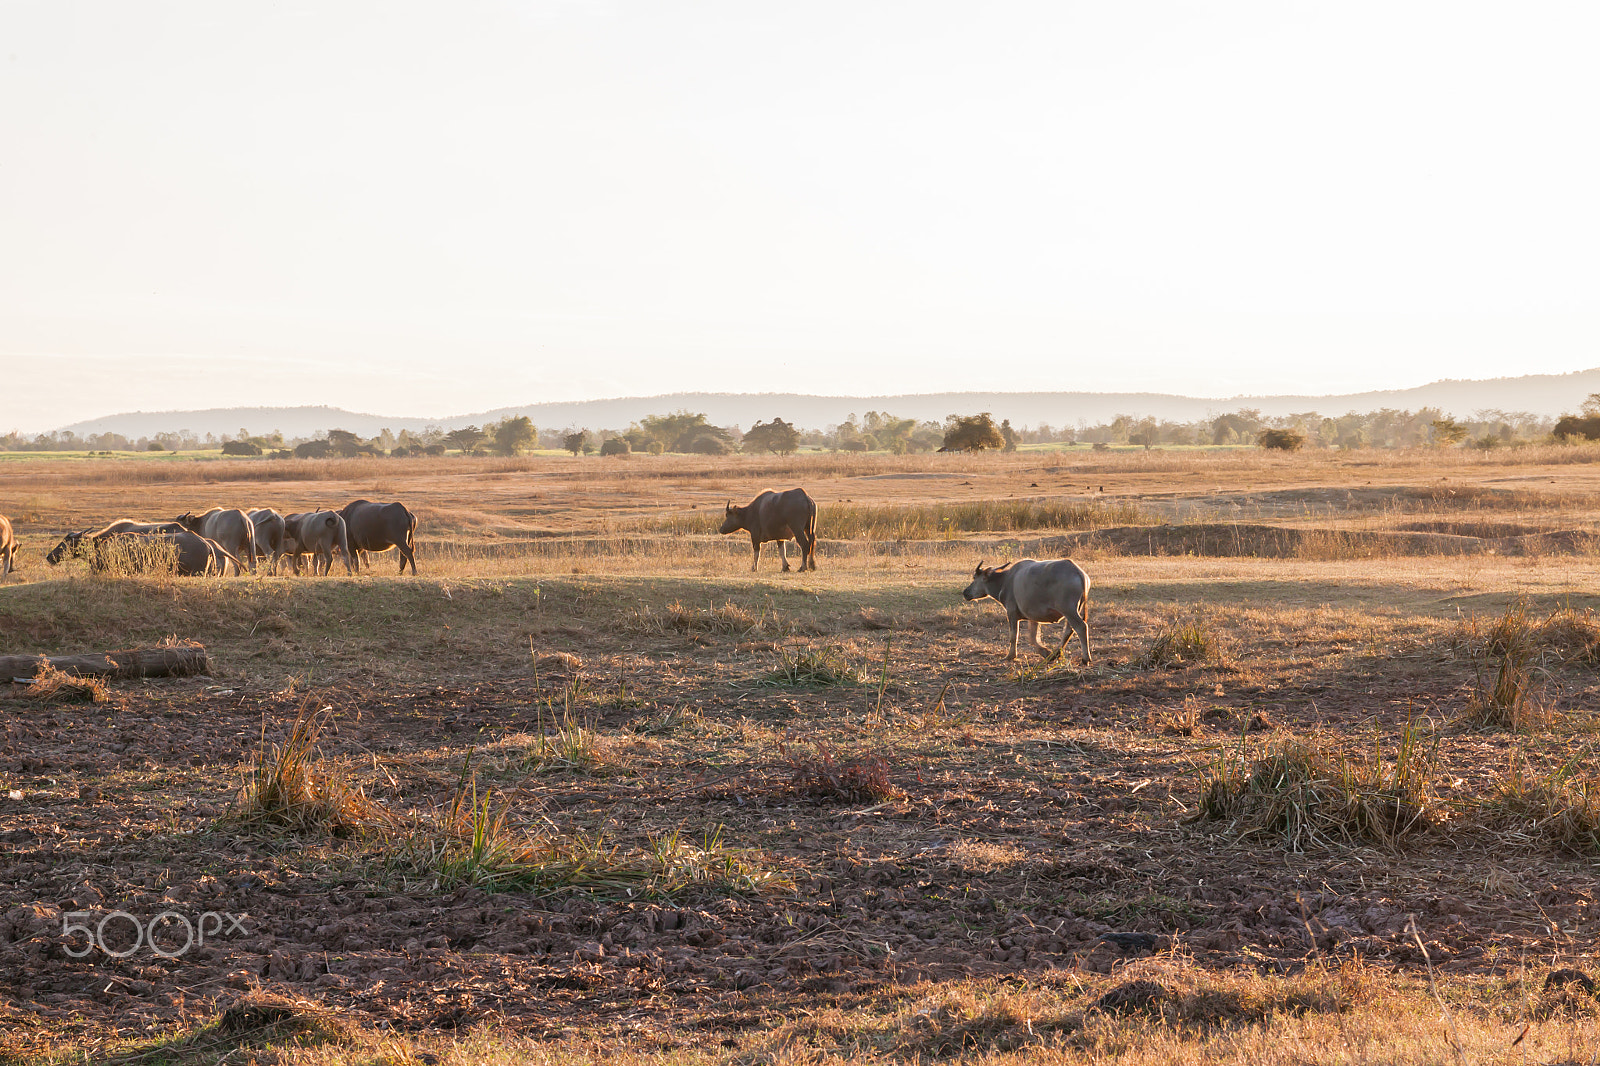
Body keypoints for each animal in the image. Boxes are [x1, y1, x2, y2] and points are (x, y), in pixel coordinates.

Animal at [962, 558, 1091, 664]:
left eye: (974, 578)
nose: (965, 592)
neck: (1005, 580)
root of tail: (1078, 572)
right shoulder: (1034, 617)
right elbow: (1033, 637)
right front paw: (1045, 652)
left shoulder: (1011, 613)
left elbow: (1014, 636)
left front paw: (1010, 656)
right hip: (1074, 610)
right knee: (1069, 630)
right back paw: (1055, 654)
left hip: (1069, 610)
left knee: (1081, 627)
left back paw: (1085, 658)